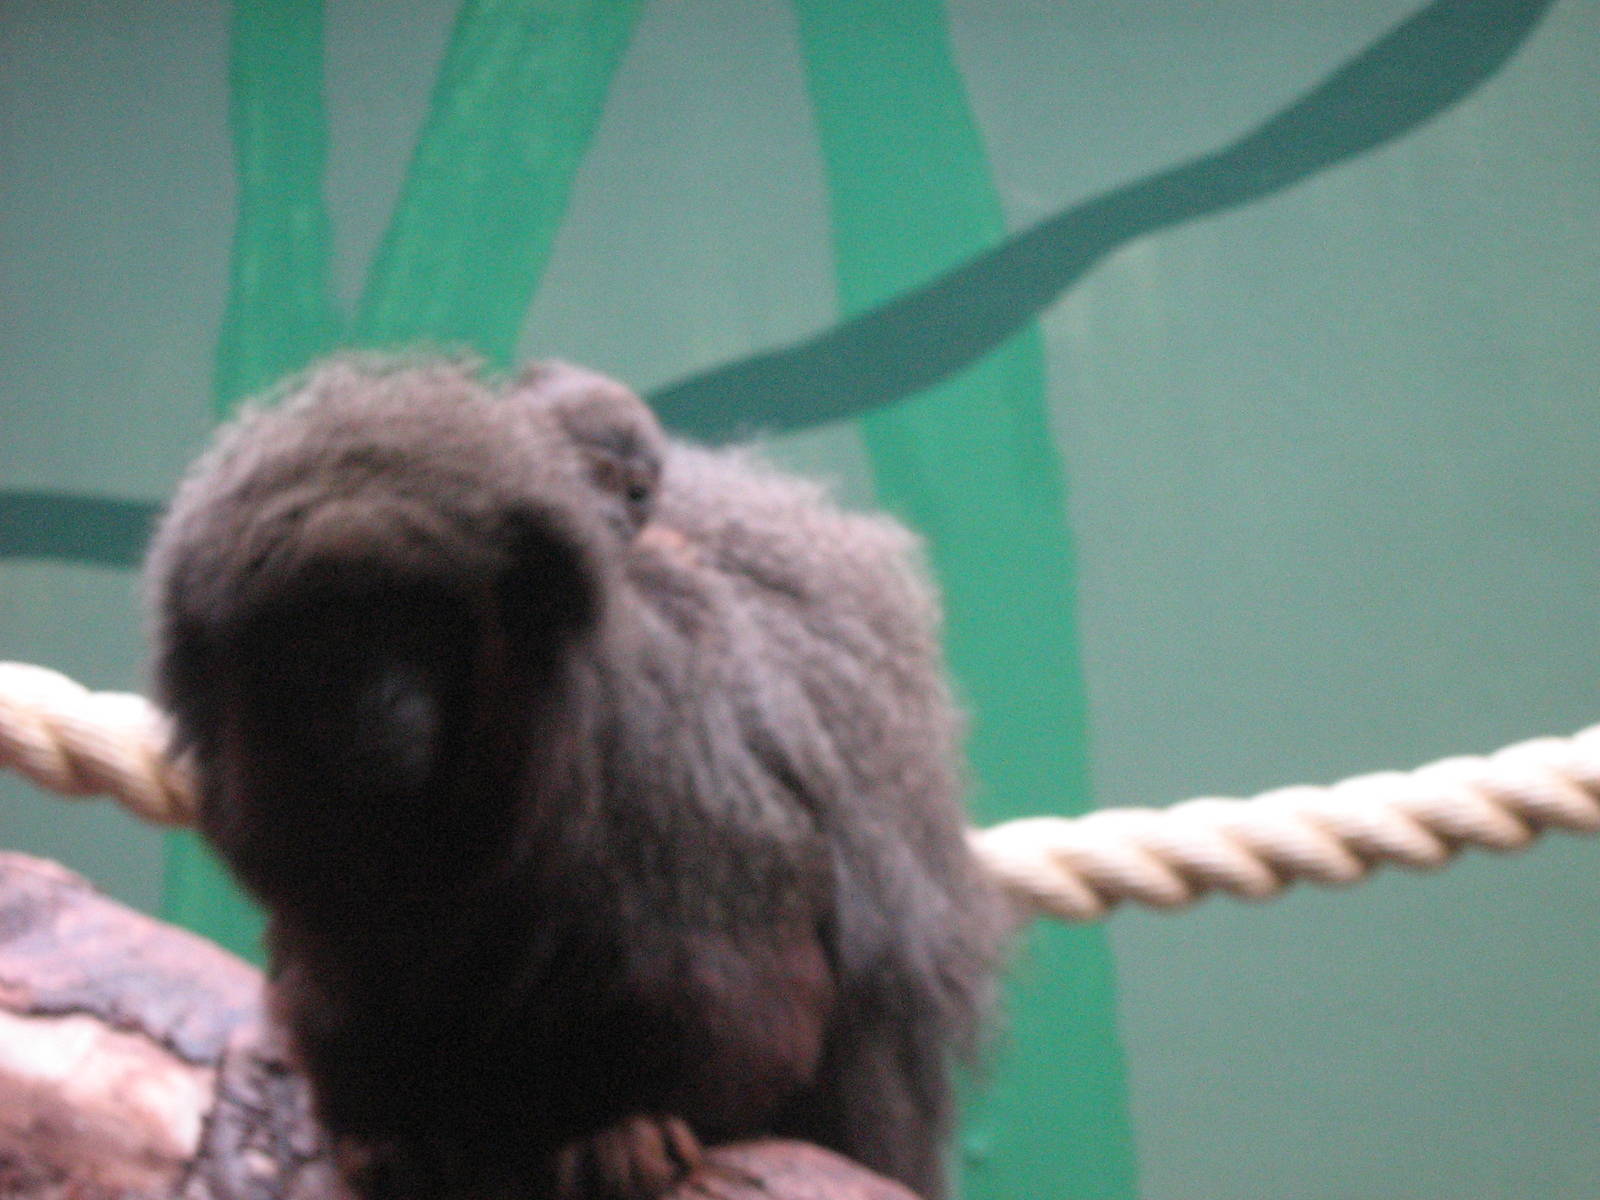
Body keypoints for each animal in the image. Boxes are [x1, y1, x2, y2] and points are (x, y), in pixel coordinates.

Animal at [144, 354, 1007, 1200]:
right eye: (323, 648)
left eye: (414, 635)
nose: (373, 701)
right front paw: (392, 1132)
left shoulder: (673, 781)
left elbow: (752, 998)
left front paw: (630, 1122)